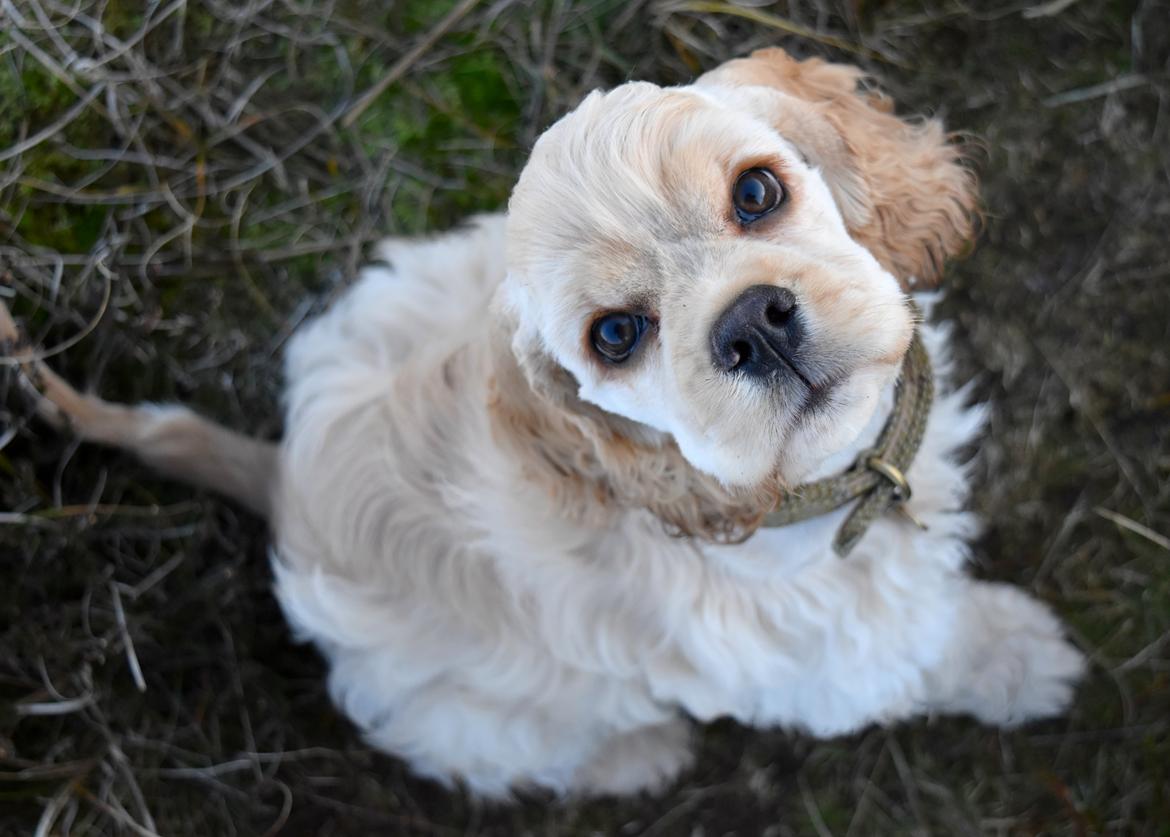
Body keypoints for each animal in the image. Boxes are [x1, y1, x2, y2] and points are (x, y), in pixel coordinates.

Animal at [0, 47, 1081, 800]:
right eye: (616, 335)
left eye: (758, 191)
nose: (751, 325)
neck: (822, 485)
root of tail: (281, 475)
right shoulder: (827, 660)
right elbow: (926, 650)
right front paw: (1023, 658)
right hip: (476, 712)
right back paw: (640, 752)